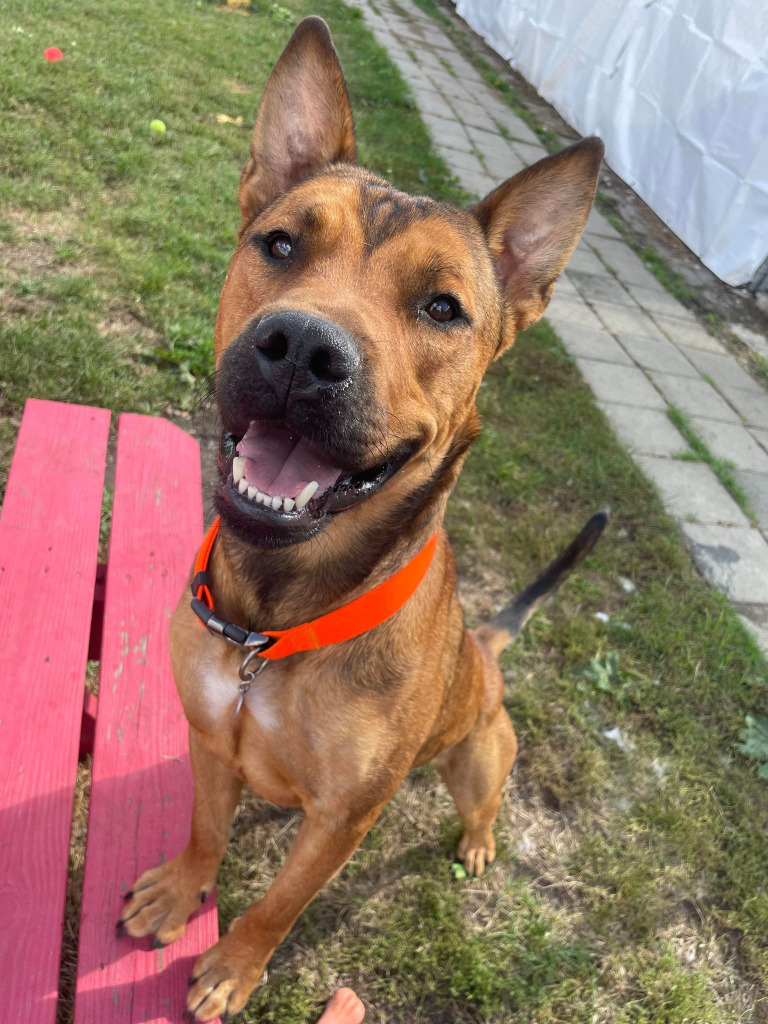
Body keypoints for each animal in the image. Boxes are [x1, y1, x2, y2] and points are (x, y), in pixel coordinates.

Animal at [117, 16, 606, 1015]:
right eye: (279, 245)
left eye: (443, 307)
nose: (302, 347)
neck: (274, 622)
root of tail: (481, 649)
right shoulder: (209, 742)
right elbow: (204, 832)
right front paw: (183, 893)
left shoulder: (344, 819)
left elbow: (279, 905)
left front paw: (233, 968)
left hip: (479, 756)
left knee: (482, 800)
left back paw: (477, 841)